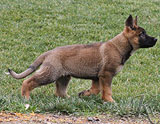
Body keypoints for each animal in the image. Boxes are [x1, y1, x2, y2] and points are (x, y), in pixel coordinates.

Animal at [7, 15, 158, 101]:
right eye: (142, 34)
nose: (156, 39)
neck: (119, 46)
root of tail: (49, 52)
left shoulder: (97, 77)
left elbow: (97, 90)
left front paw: (85, 93)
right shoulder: (106, 75)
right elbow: (107, 90)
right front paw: (110, 101)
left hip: (64, 77)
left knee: (60, 92)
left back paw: (70, 99)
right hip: (51, 74)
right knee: (28, 81)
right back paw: (25, 97)